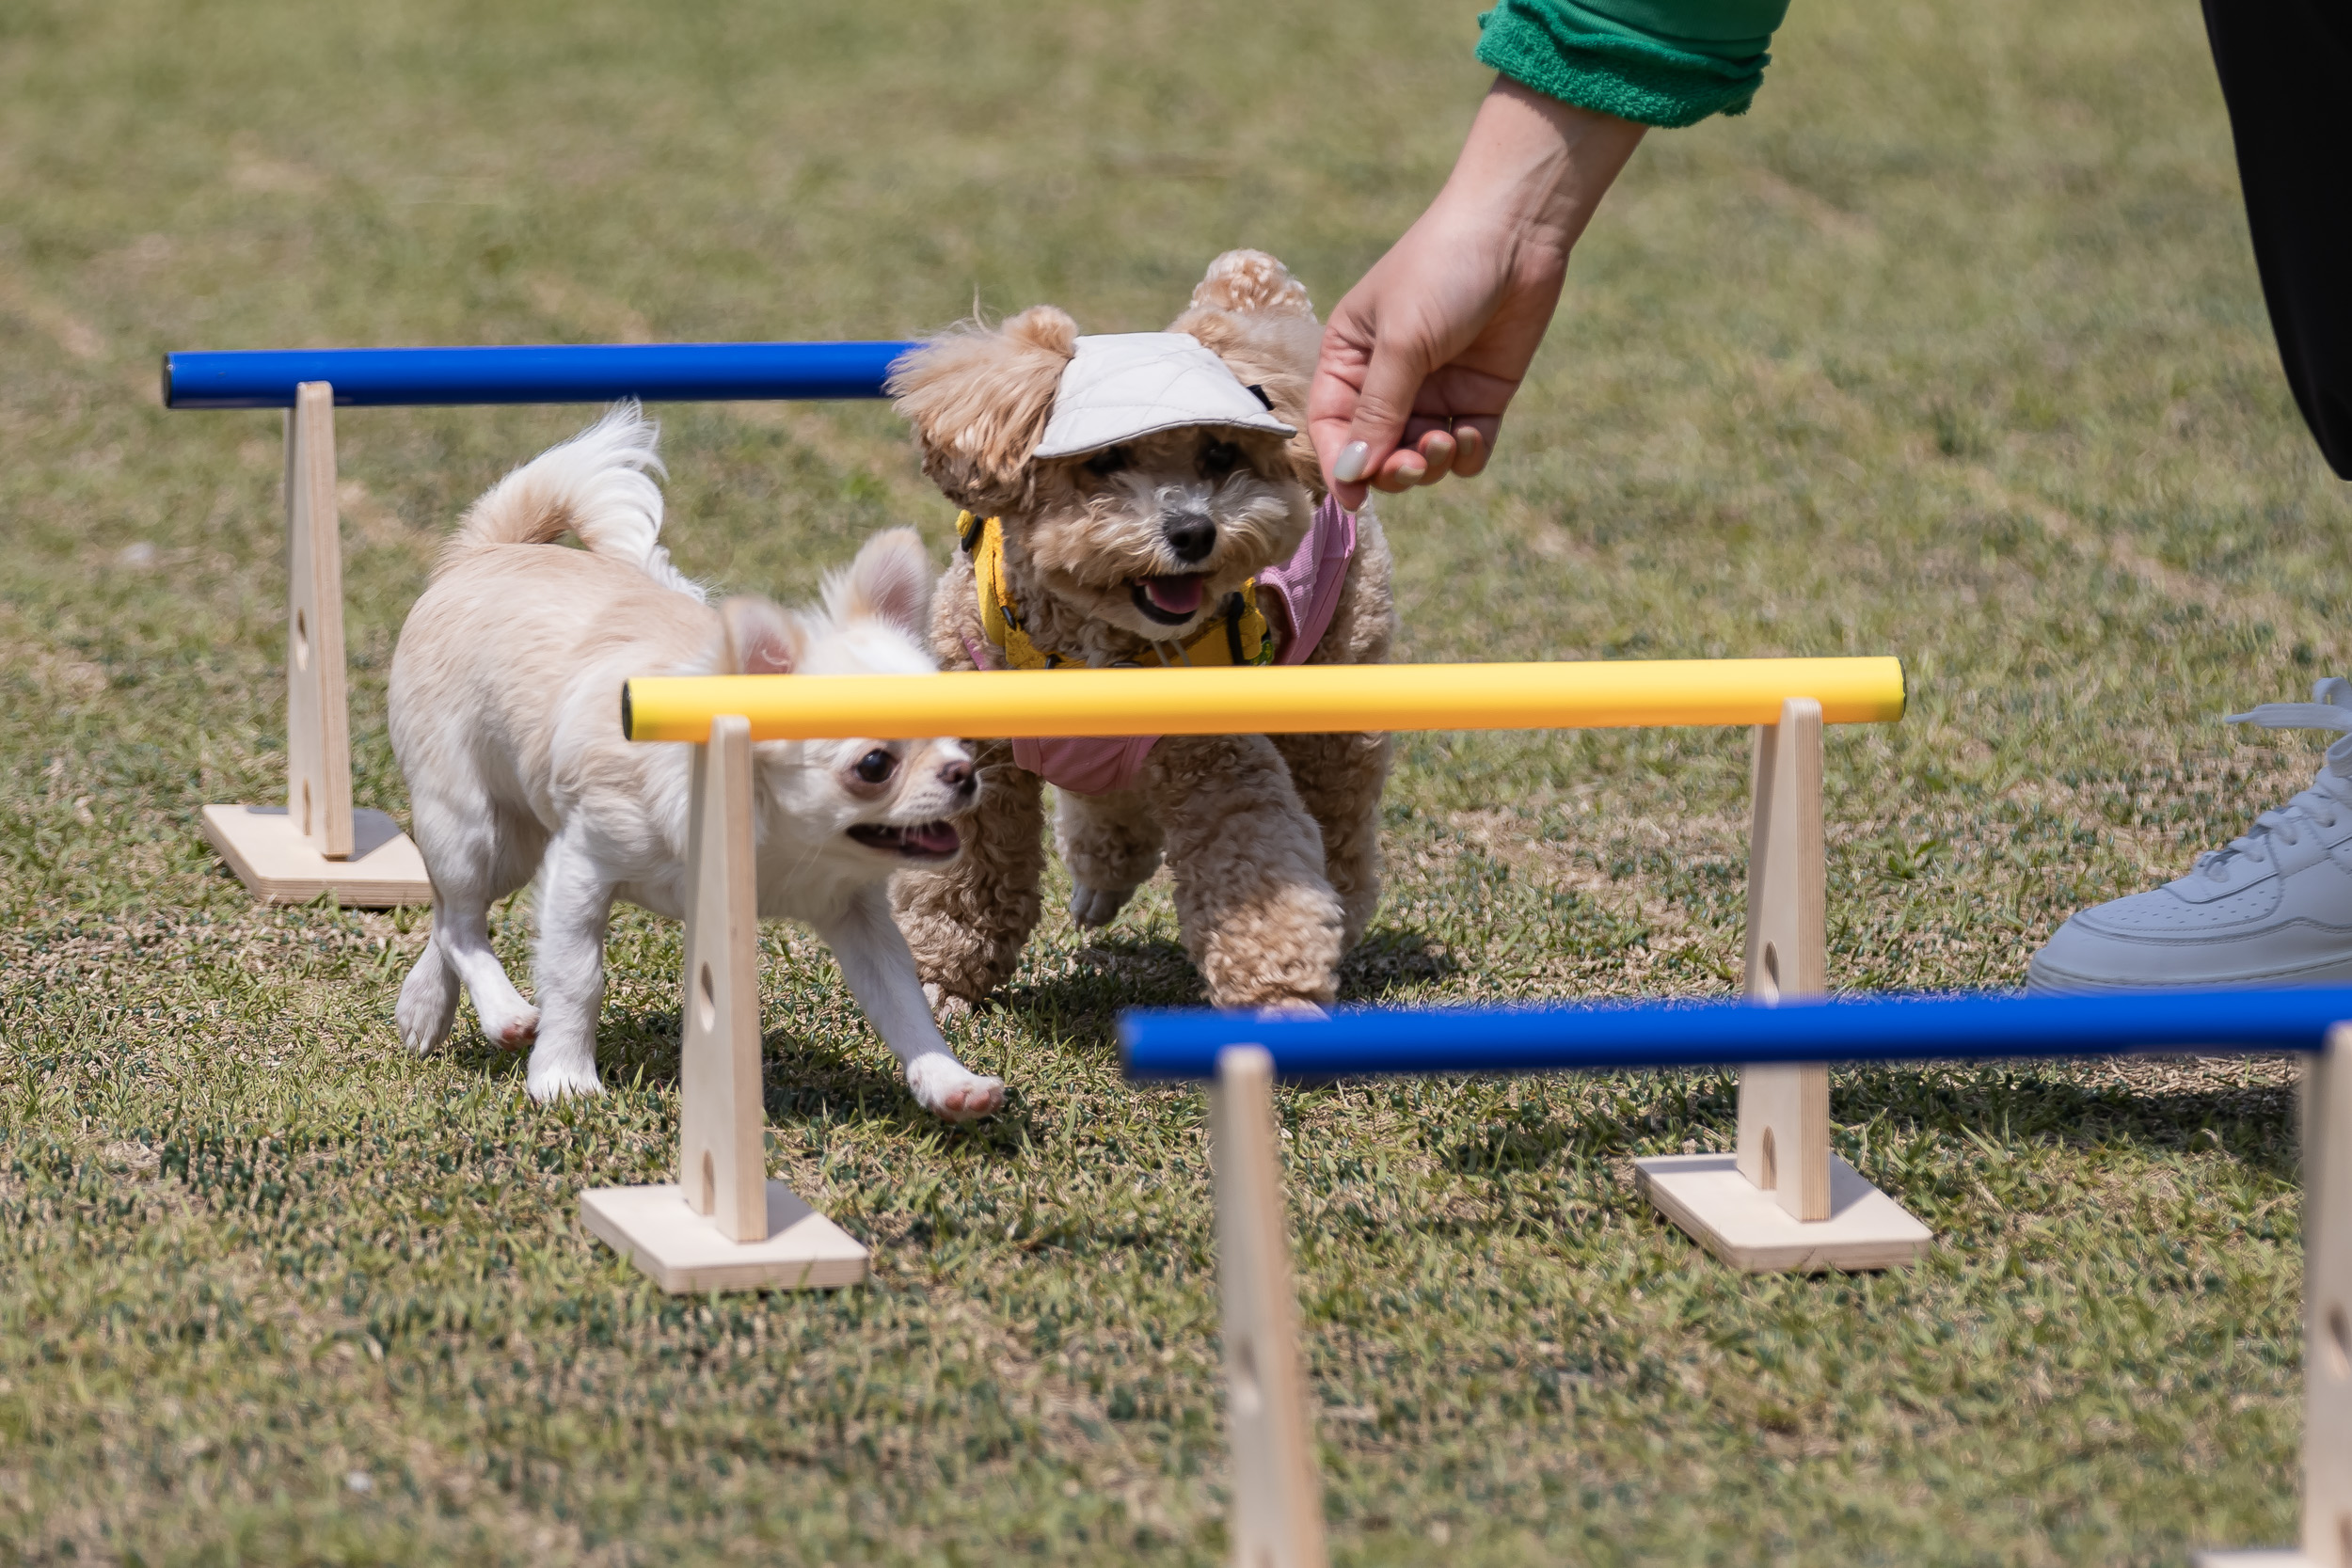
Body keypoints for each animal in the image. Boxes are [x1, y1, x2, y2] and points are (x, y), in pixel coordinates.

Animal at [383, 404, 1002, 1114]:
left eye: (959, 736)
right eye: (873, 766)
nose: (962, 774)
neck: (778, 839)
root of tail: (488, 549)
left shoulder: (856, 914)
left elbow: (902, 1004)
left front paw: (950, 1082)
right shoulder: (583, 864)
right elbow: (577, 977)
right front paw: (564, 1077)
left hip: (512, 842)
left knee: (450, 916)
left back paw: (423, 1009)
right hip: (471, 821)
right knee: (461, 919)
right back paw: (505, 1013)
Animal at [884, 251, 1392, 1010]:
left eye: (1219, 454)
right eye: (1104, 461)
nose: (1194, 531)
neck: (1094, 644)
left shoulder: (1219, 763)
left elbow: (1254, 865)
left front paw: (1281, 997)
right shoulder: (979, 749)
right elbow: (966, 868)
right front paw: (942, 978)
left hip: (1336, 679)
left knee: (1340, 812)